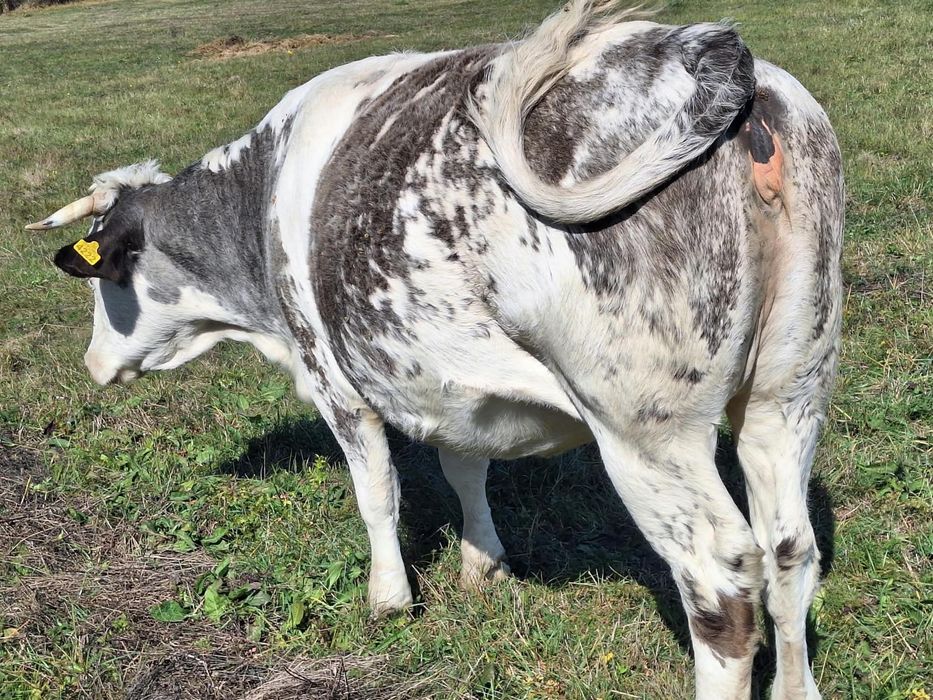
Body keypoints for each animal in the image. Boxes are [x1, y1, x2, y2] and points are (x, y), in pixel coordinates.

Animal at [27, 1, 843, 697]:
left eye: (105, 277)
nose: (92, 363)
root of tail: (724, 67)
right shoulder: (450, 383)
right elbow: (464, 470)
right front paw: (483, 563)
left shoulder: (335, 381)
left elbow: (376, 493)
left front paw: (389, 598)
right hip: (788, 393)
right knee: (788, 549)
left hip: (646, 429)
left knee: (721, 582)